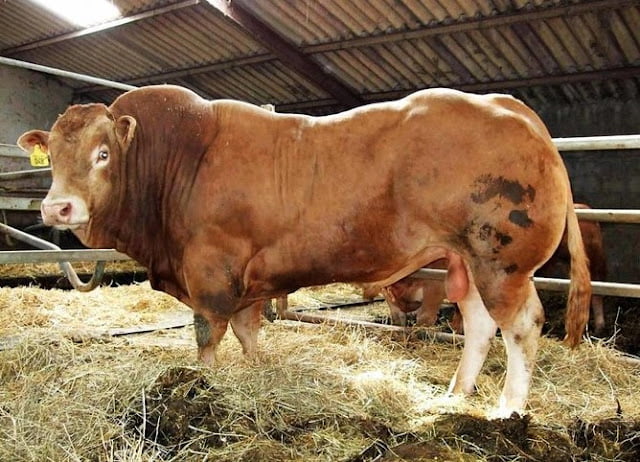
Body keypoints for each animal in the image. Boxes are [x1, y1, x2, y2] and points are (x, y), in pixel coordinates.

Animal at [18, 85, 590, 416]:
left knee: (523, 325)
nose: (58, 208)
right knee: (477, 322)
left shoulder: (211, 269)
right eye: (53, 158)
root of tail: (507, 105)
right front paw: (254, 373)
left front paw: (201, 385)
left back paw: (508, 409)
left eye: (103, 153)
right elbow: (248, 330)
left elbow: (207, 334)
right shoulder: (247, 279)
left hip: (500, 259)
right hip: (462, 260)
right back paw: (457, 392)